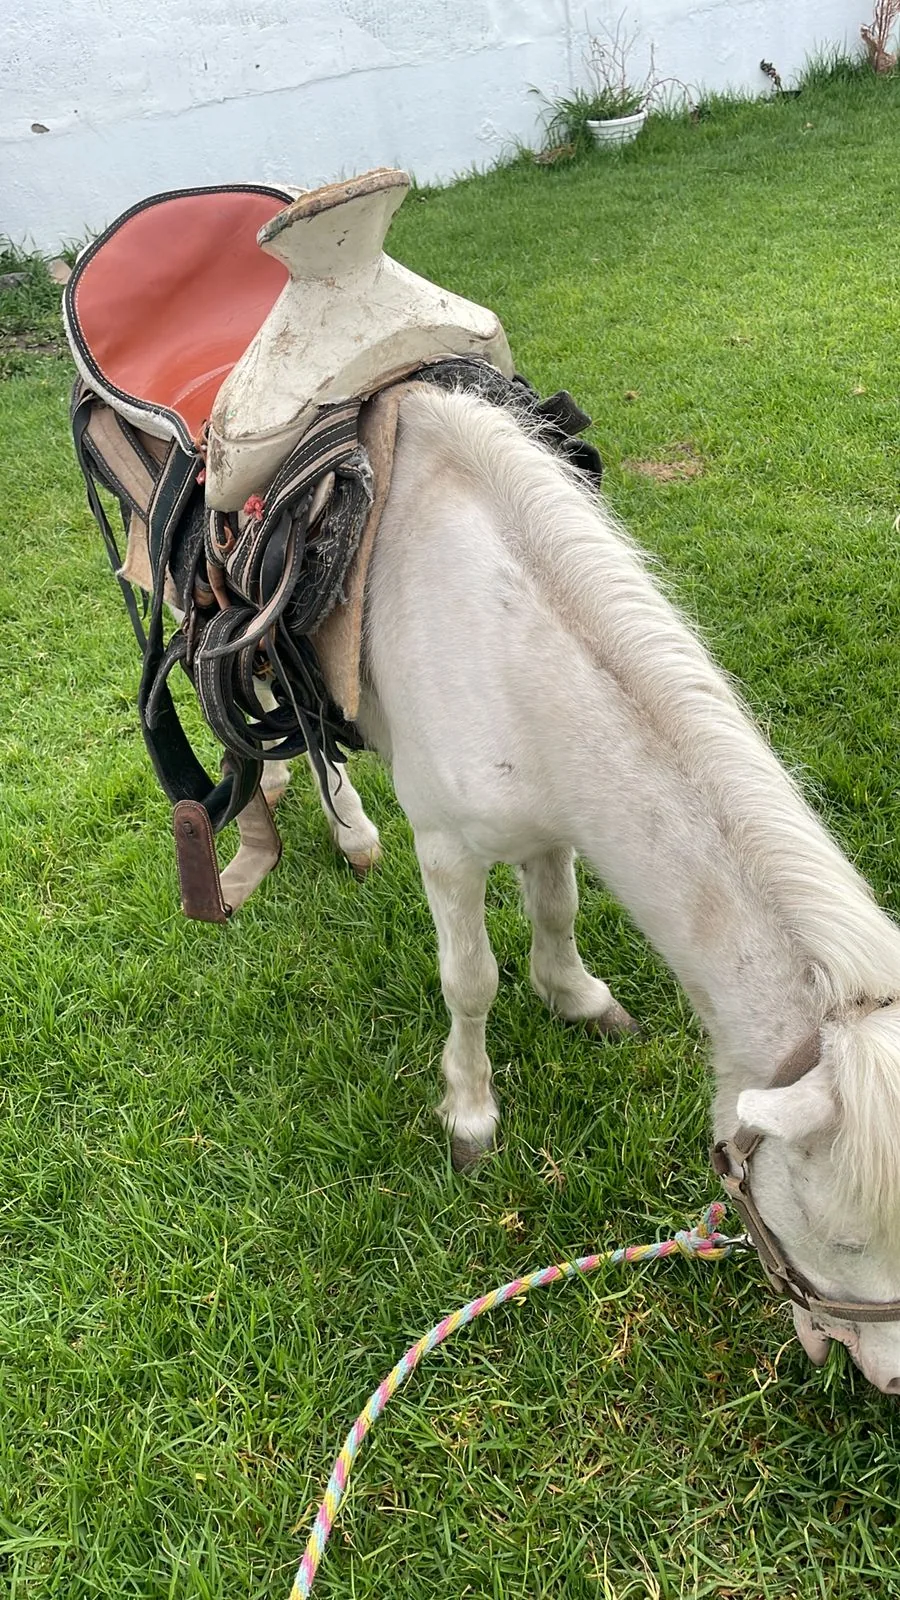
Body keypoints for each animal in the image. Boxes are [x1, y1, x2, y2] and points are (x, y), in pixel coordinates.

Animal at [283, 378, 900, 1397]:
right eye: (844, 1238)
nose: (891, 1384)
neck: (504, 641)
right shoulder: (447, 847)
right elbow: (471, 982)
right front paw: (471, 1114)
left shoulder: (554, 819)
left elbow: (557, 909)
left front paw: (577, 999)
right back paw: (335, 829)